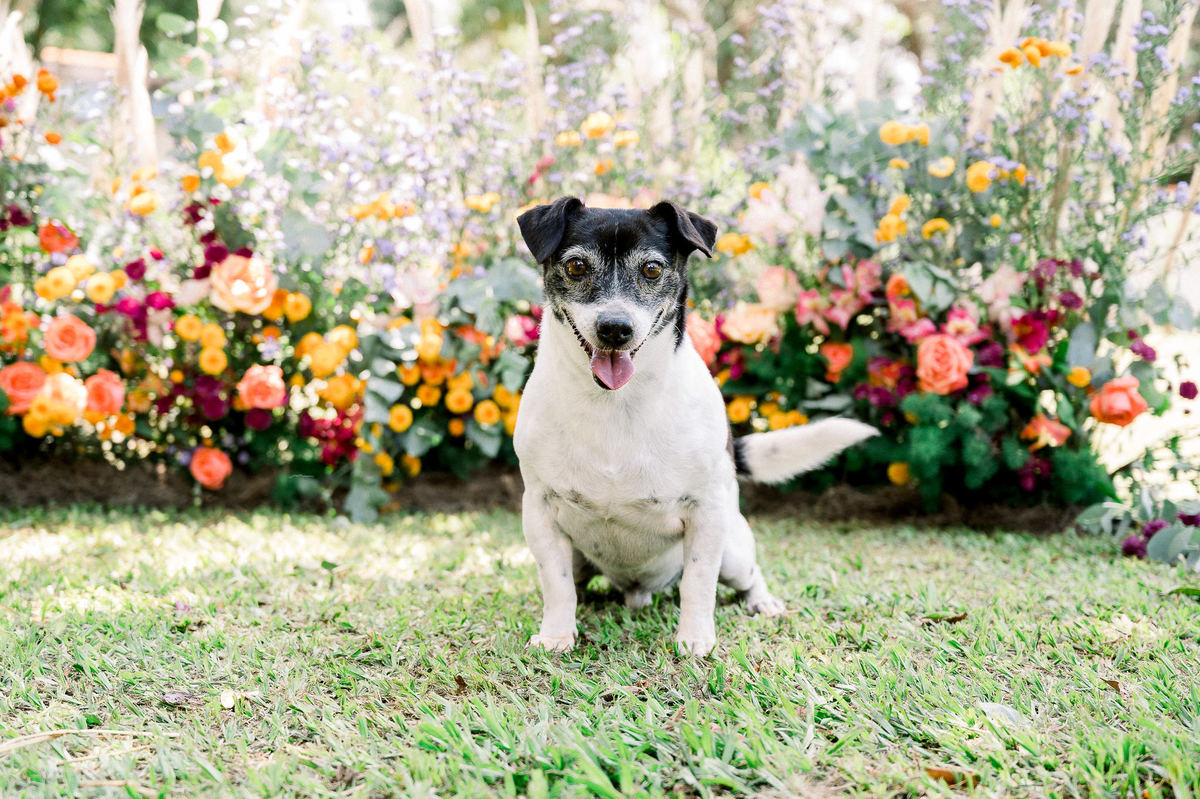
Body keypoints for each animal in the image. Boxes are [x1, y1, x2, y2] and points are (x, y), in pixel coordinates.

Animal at [513, 197, 877, 656]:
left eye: (652, 269)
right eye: (577, 266)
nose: (615, 328)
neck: (617, 403)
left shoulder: (707, 513)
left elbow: (699, 581)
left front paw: (695, 639)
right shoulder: (540, 511)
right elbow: (557, 584)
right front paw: (556, 636)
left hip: (735, 547)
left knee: (747, 575)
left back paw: (763, 602)